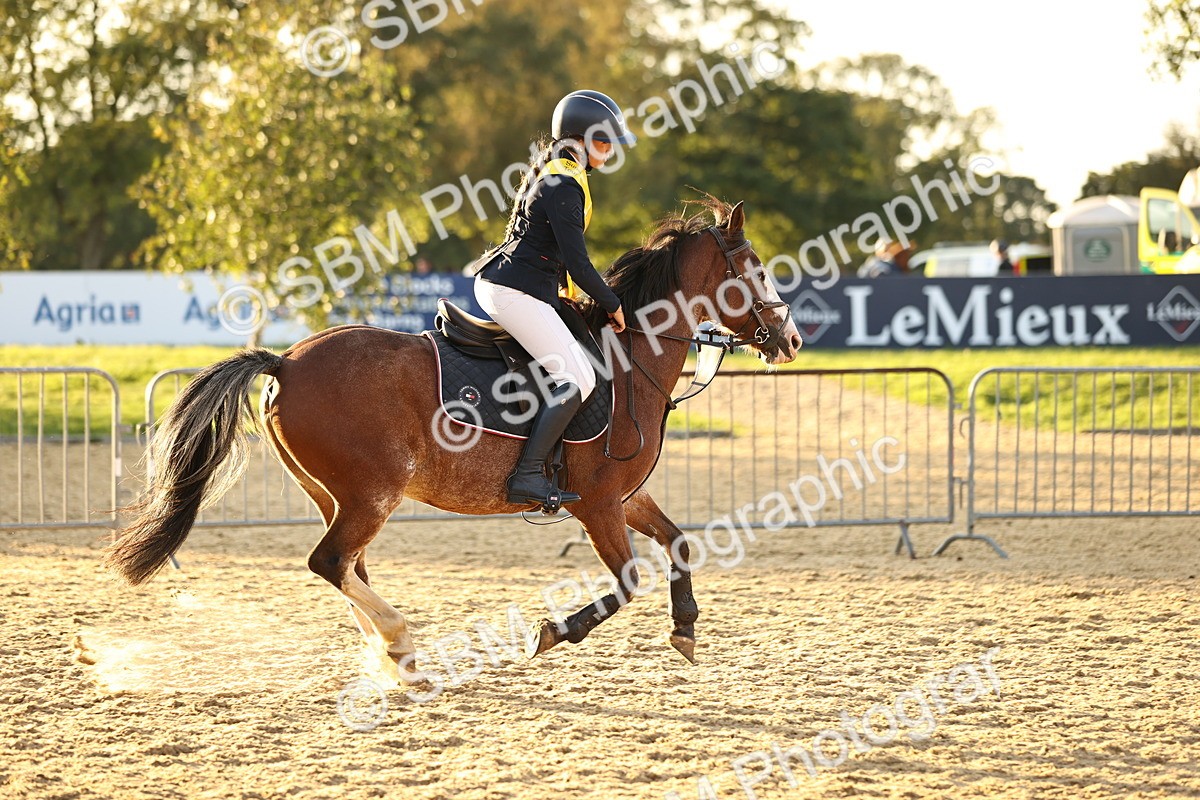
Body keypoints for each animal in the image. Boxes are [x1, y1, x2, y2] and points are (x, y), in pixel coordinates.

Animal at [104, 197, 804, 683]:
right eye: (757, 271)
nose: (792, 340)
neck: (631, 358)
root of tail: (288, 362)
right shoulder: (599, 505)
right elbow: (629, 581)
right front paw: (554, 632)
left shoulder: (625, 498)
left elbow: (680, 541)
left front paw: (685, 629)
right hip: (372, 493)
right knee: (330, 562)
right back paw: (400, 644)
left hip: (337, 495)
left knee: (347, 565)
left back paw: (388, 654)